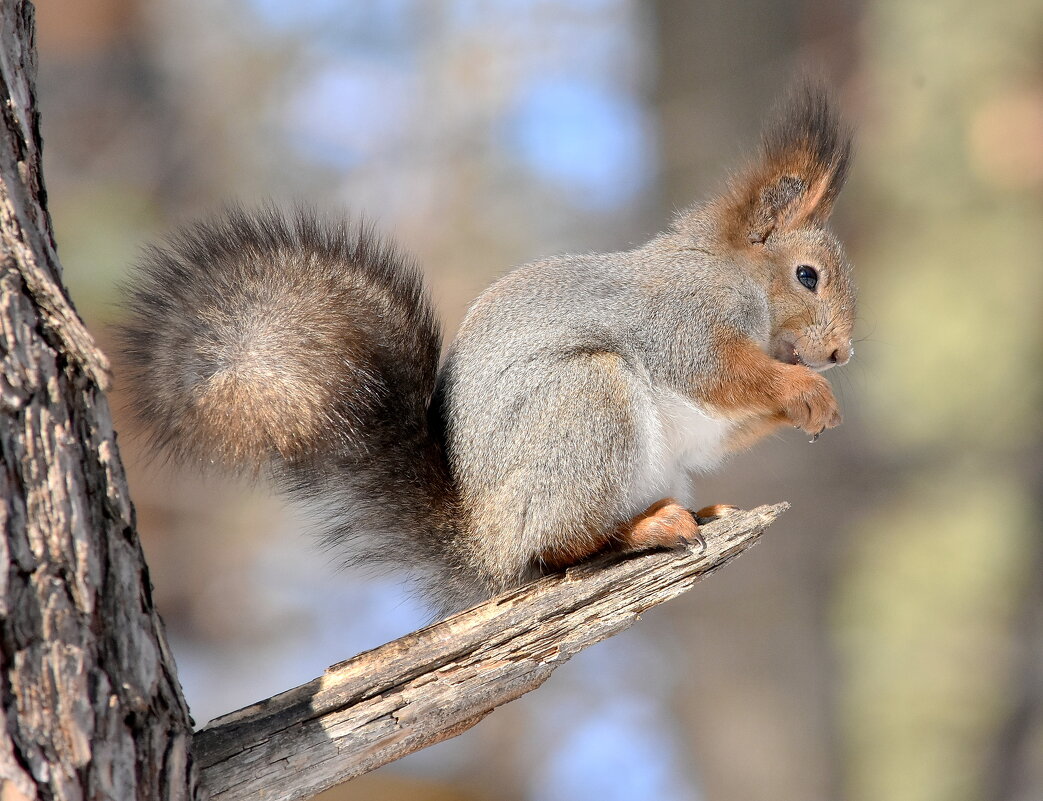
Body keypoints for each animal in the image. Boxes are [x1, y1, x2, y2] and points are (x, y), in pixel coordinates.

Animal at [119, 86, 855, 613]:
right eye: (807, 276)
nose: (842, 354)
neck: (732, 275)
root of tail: (485, 543)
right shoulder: (684, 322)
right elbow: (717, 370)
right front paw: (805, 391)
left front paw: (814, 408)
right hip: (586, 403)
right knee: (559, 549)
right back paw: (648, 528)